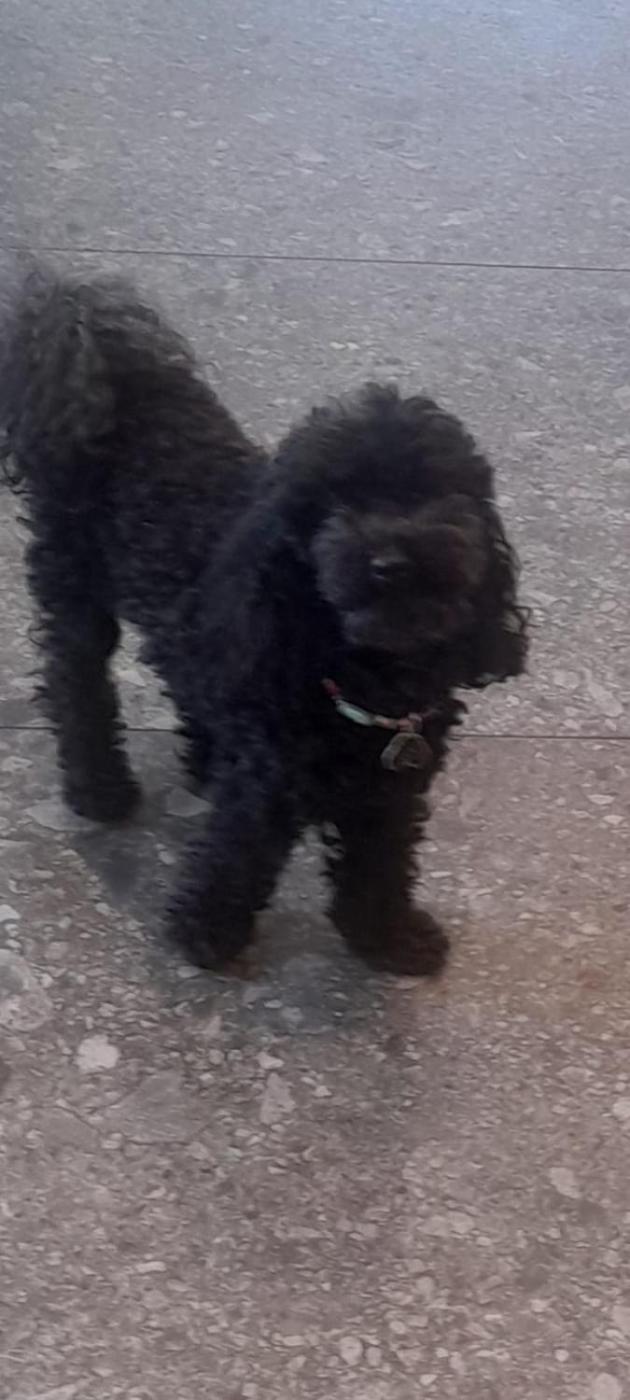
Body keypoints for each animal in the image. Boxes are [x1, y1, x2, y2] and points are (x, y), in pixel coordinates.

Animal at [0, 269, 528, 976]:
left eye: (434, 492)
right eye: (332, 505)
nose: (392, 561)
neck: (365, 681)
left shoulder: (391, 791)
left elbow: (382, 865)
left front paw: (387, 936)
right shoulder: (267, 784)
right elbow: (237, 855)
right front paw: (207, 932)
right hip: (74, 583)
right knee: (75, 682)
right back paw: (99, 788)